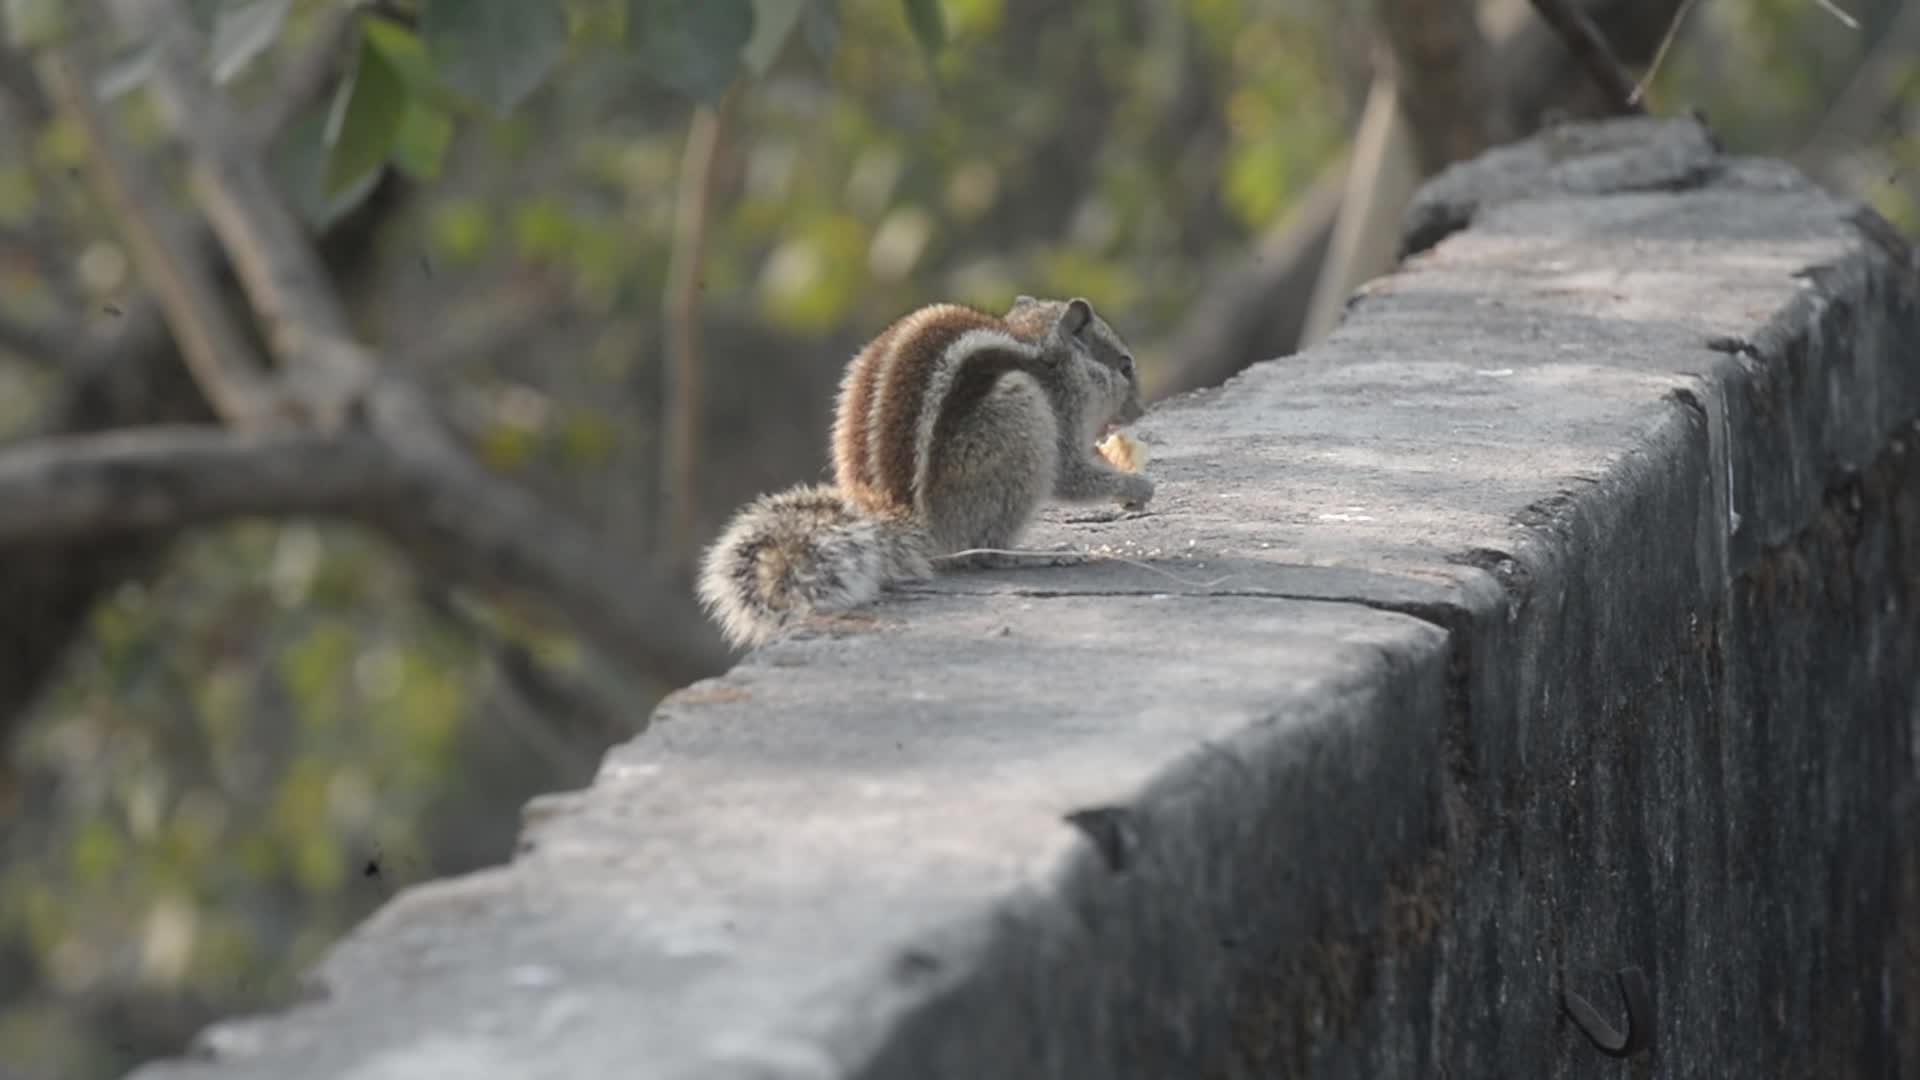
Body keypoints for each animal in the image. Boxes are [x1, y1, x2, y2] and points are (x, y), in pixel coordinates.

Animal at [696, 295, 1153, 649]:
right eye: (1125, 366)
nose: (1140, 410)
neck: (1039, 345)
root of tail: (910, 525)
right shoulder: (1060, 408)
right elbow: (1070, 475)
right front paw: (1137, 485)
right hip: (1020, 417)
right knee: (986, 553)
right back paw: (1042, 555)